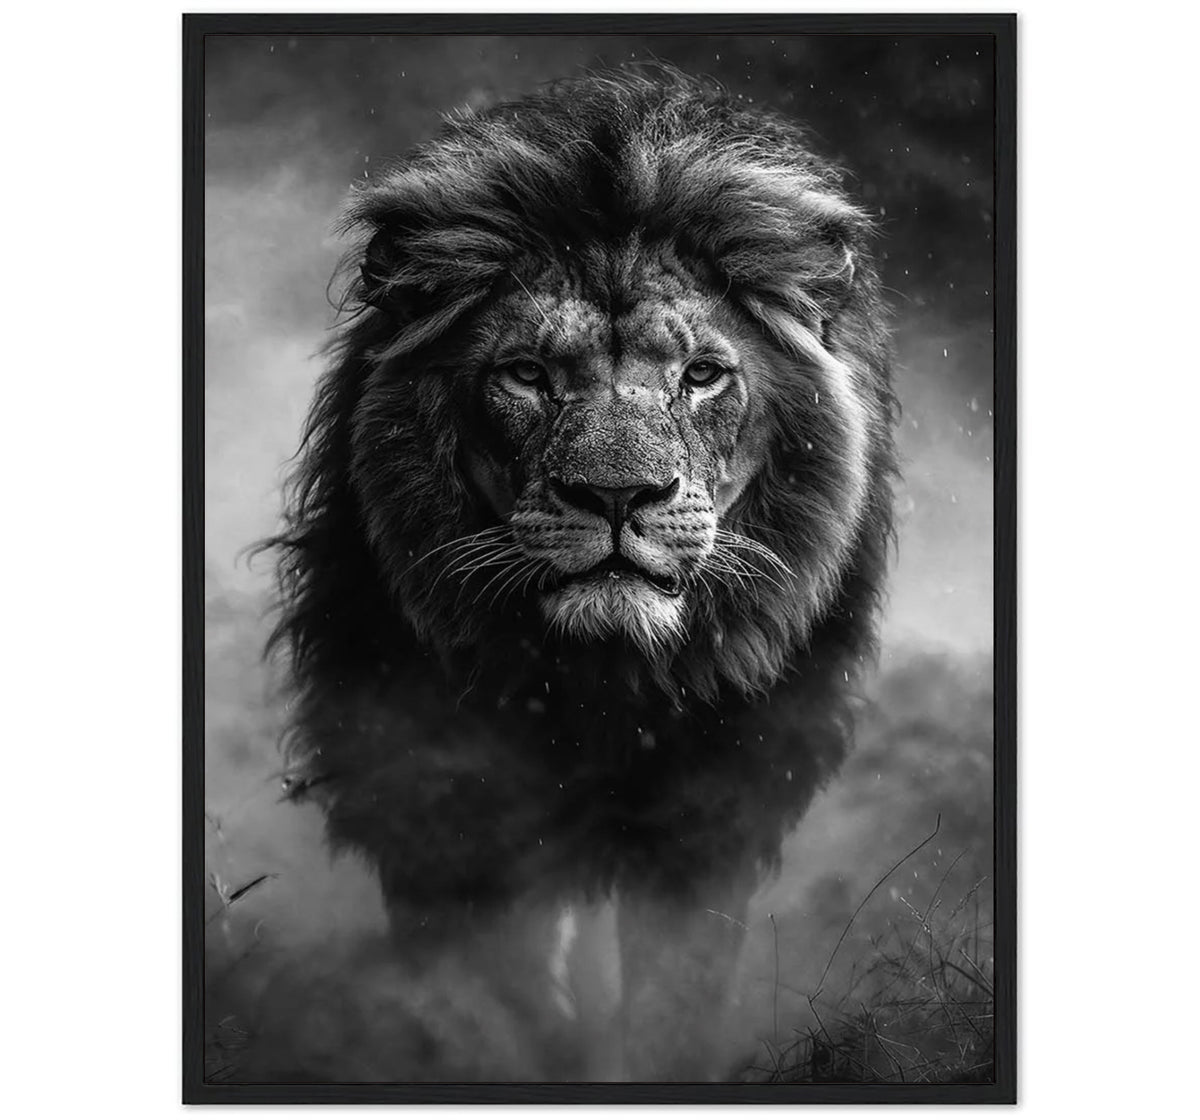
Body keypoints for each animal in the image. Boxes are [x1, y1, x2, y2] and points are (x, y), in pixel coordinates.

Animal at [265, 70, 897, 1081]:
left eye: (703, 375)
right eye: (526, 374)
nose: (617, 495)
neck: (603, 685)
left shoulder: (709, 815)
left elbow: (676, 995)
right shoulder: (440, 803)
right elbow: (498, 992)